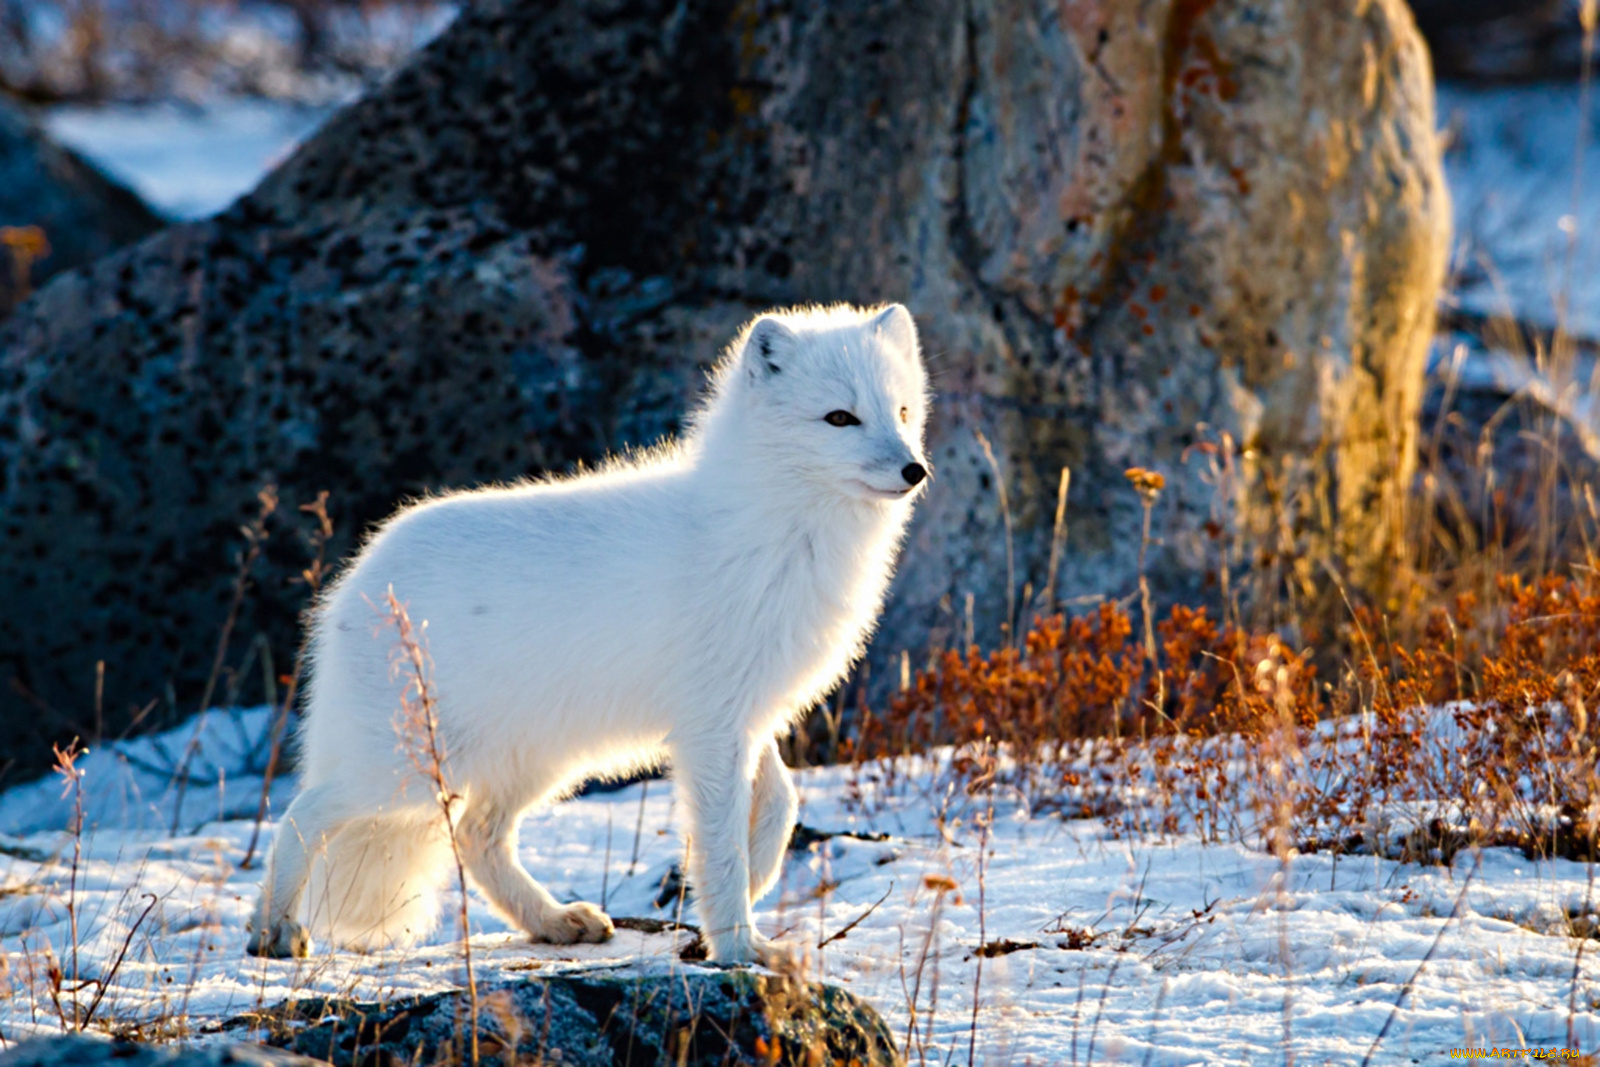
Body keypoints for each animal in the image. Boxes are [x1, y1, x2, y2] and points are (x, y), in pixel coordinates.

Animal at [243, 302, 934, 966]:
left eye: (901, 411)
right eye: (840, 418)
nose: (915, 469)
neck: (776, 527)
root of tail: (356, 582)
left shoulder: (745, 714)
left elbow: (783, 803)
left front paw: (756, 882)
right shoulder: (712, 728)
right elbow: (721, 842)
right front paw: (738, 946)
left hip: (533, 761)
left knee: (474, 835)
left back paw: (553, 922)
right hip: (409, 769)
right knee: (305, 811)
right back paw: (272, 930)